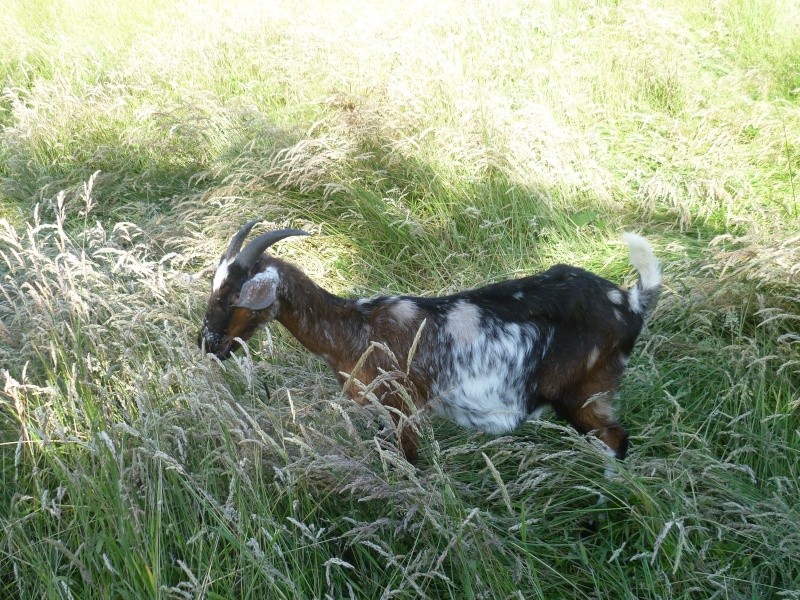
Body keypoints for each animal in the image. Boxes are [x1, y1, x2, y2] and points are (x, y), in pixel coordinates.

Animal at [197, 220, 660, 464]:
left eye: (233, 296)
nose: (207, 344)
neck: (356, 329)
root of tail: (631, 302)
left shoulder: (404, 406)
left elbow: (410, 461)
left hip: (582, 390)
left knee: (616, 441)